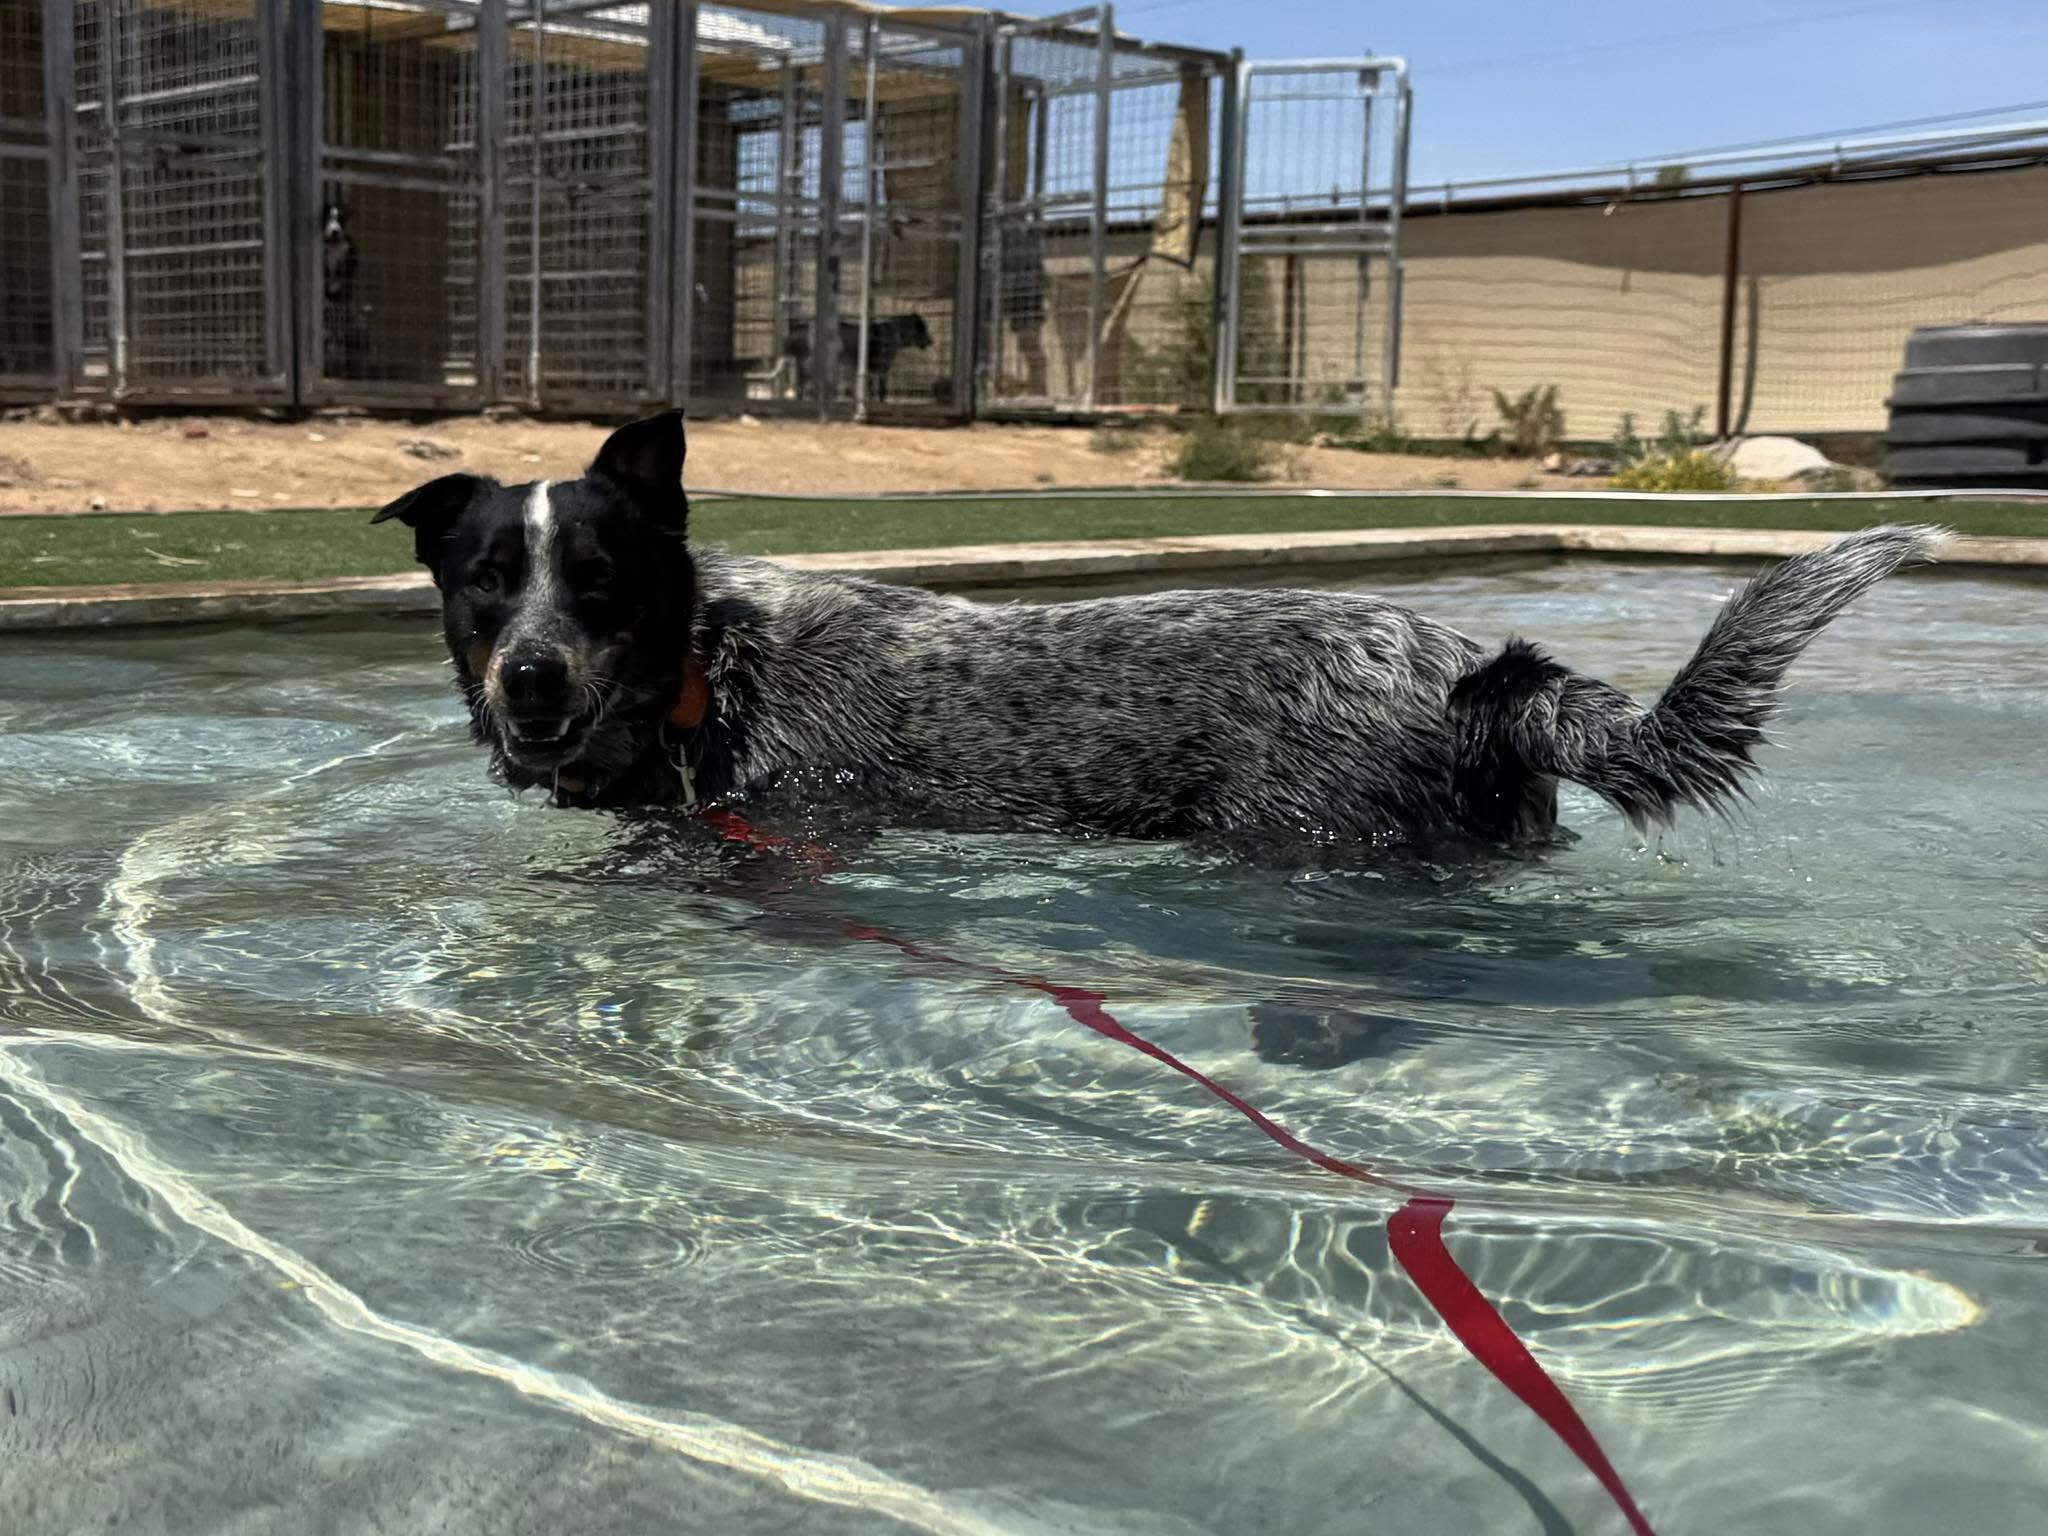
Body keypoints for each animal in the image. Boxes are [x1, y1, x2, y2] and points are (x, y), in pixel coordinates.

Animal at [785, 312, 933, 404]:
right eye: (922, 328)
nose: (931, 341)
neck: (893, 333)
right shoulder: (882, 369)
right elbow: (881, 391)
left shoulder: (872, 371)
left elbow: (871, 390)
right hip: (809, 364)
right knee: (802, 385)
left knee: (801, 384)